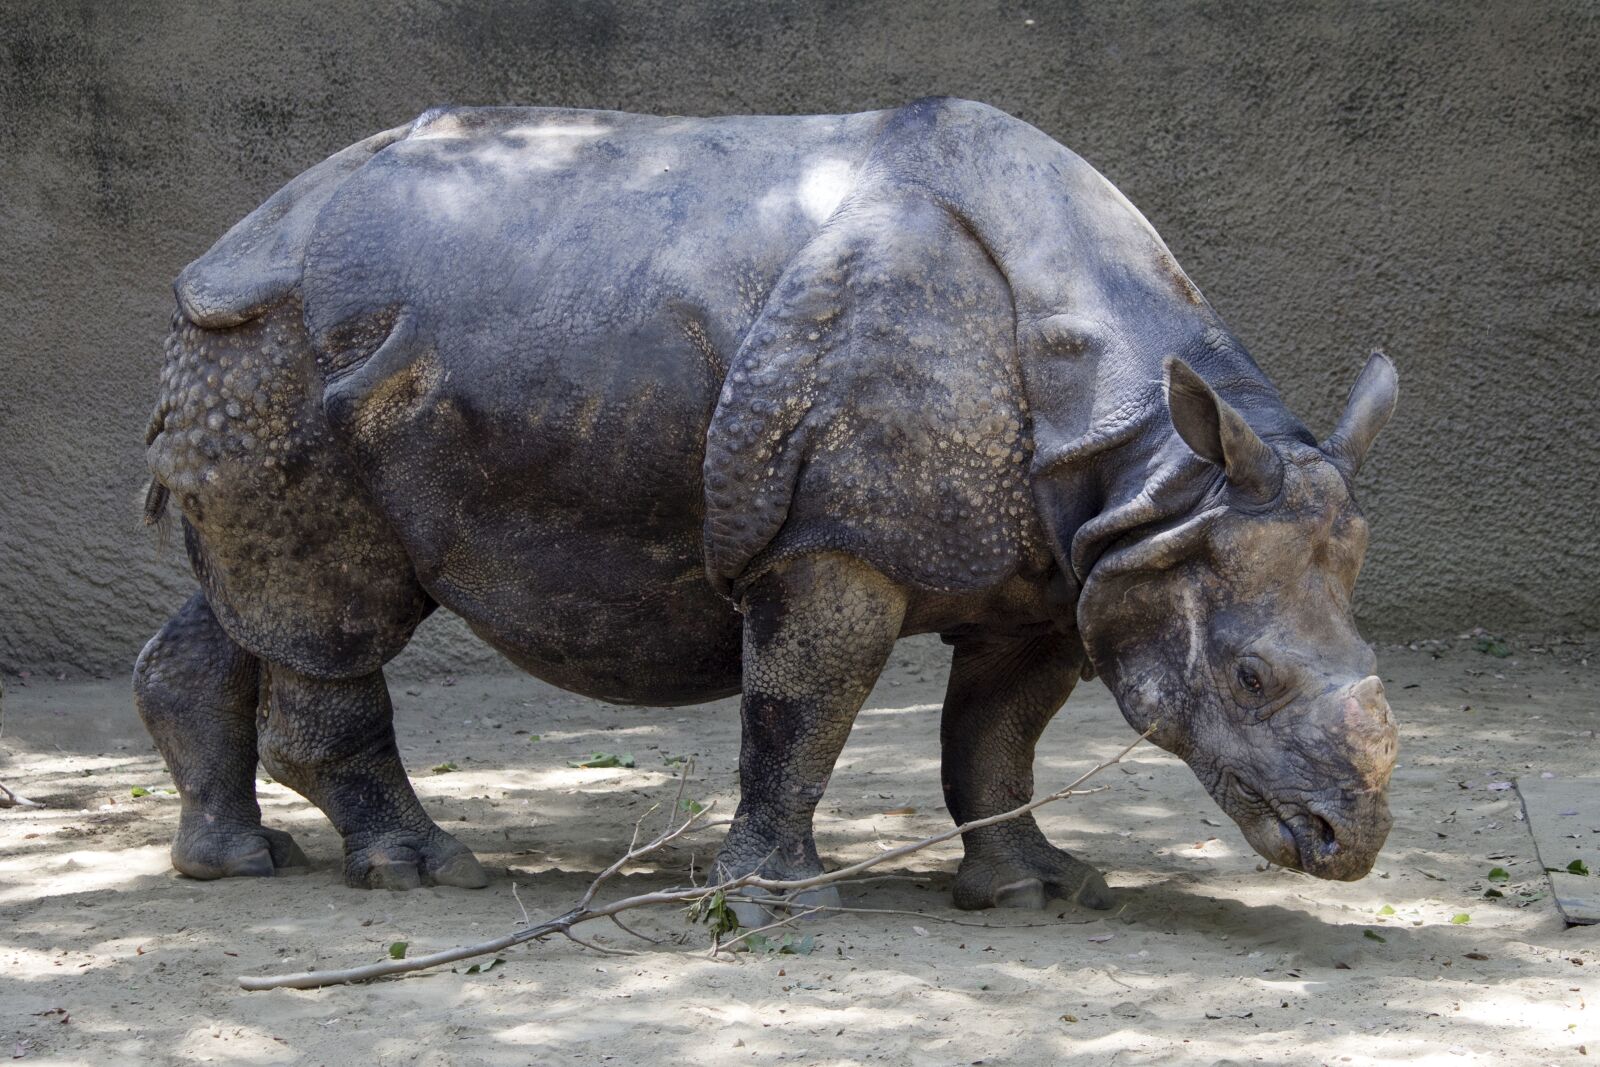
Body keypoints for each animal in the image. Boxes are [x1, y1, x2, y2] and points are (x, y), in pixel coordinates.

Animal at [134, 98, 1399, 913]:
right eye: (1250, 677)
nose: (1348, 844)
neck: (1157, 461)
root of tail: (235, 234)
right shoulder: (831, 541)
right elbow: (803, 705)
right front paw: (777, 899)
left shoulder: (1067, 557)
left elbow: (996, 732)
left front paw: (1036, 889)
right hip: (291, 346)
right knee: (339, 603)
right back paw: (423, 869)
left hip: (277, 354)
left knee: (255, 595)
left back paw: (235, 862)